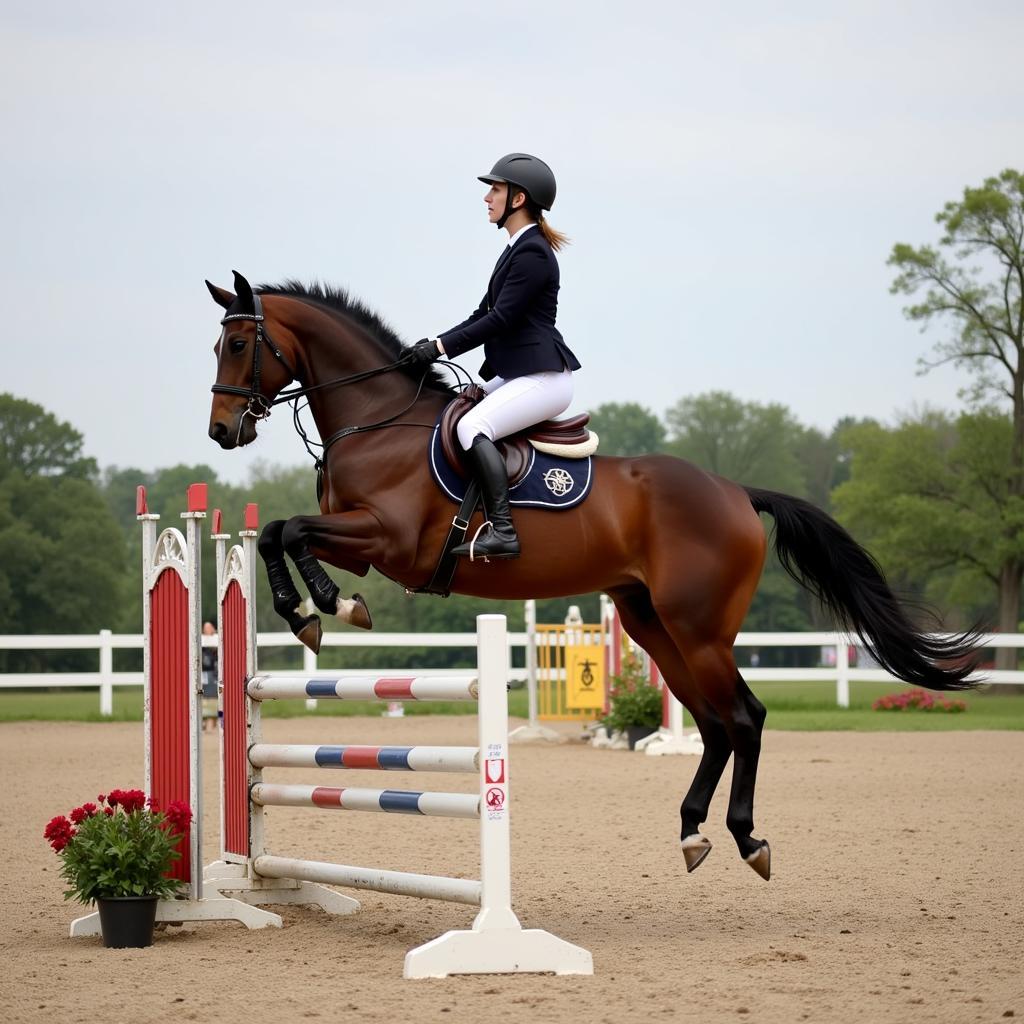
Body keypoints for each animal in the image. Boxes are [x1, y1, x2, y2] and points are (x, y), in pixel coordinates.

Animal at [203, 270, 978, 880]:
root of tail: (734, 491)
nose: (222, 431)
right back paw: (692, 831)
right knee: (715, 724)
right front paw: (309, 609)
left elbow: (292, 532)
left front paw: (327, 608)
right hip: (649, 621)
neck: (376, 420)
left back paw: (745, 838)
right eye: (218, 345)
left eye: (239, 345)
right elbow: (276, 531)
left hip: (698, 628)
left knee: (743, 718)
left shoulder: (386, 541)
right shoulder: (361, 541)